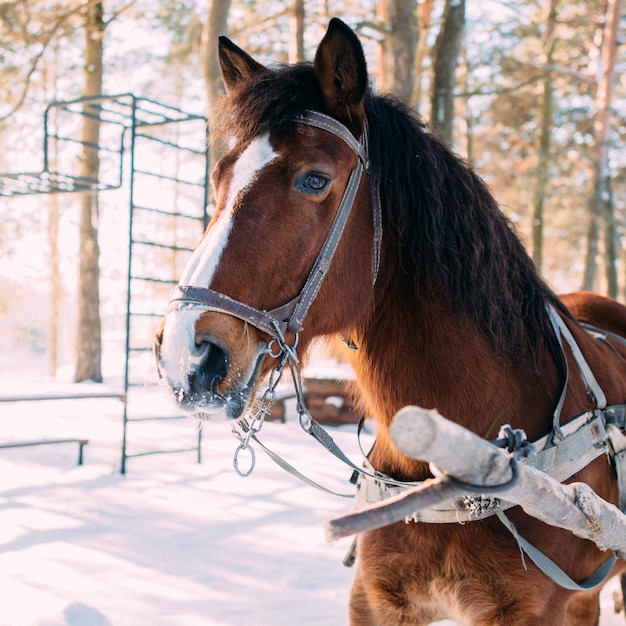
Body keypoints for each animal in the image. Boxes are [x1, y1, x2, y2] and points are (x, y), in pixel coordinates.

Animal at [155, 18, 624, 624]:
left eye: (314, 179)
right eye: (219, 175)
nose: (185, 355)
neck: (457, 457)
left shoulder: (541, 611)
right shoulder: (378, 603)